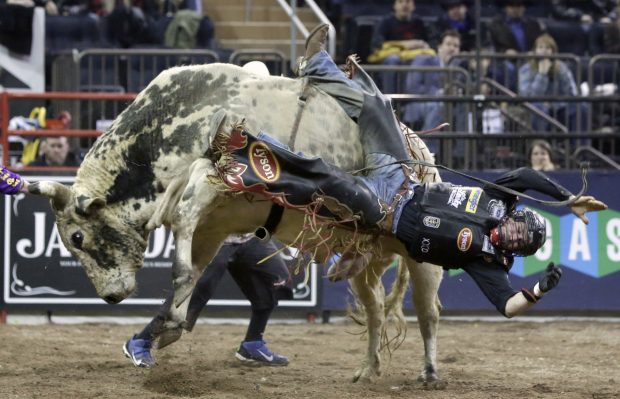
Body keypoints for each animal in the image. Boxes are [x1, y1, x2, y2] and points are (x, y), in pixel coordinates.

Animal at [27, 64, 446, 386]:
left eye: (78, 236)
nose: (111, 297)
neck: (160, 134)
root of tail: (421, 153)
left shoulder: (210, 180)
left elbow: (184, 246)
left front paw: (168, 323)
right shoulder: (213, 224)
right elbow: (193, 270)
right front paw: (167, 327)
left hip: (423, 257)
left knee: (427, 312)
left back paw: (429, 372)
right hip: (366, 259)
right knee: (375, 309)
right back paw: (367, 369)